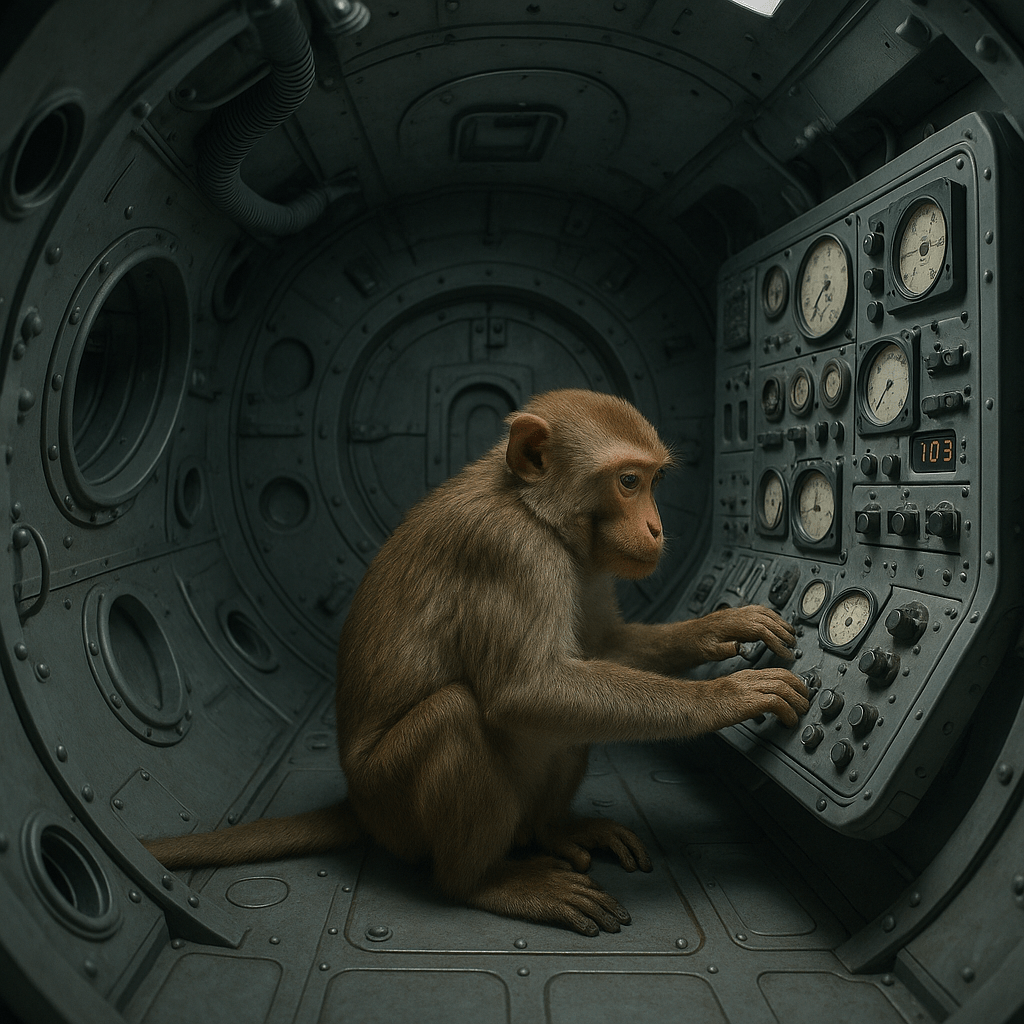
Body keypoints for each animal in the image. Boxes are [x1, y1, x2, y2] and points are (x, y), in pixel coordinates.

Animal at [144, 389, 808, 936]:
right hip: (394, 805)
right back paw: (483, 882)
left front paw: (720, 627)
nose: (655, 527)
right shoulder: (509, 554)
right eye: (626, 481)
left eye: (652, 481)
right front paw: (725, 698)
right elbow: (526, 689)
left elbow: (598, 649)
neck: (531, 508)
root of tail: (359, 804)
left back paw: (552, 830)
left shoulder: (584, 562)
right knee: (459, 715)